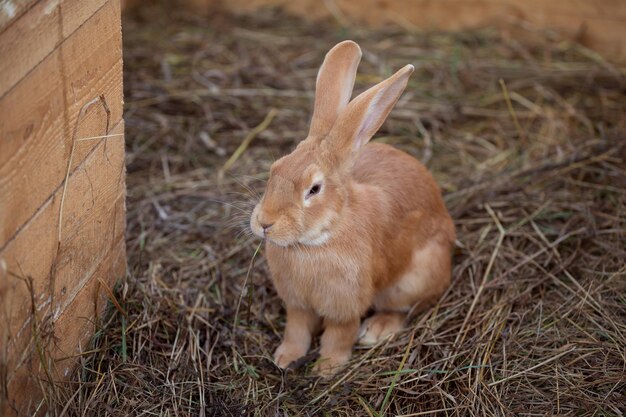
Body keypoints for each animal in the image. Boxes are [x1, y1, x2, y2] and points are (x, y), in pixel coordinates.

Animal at [249, 40, 454, 376]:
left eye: (314, 189)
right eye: (275, 168)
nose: (265, 223)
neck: (319, 239)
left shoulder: (345, 305)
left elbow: (339, 334)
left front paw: (326, 368)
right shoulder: (297, 305)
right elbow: (297, 330)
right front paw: (285, 359)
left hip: (412, 279)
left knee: (406, 309)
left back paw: (376, 330)